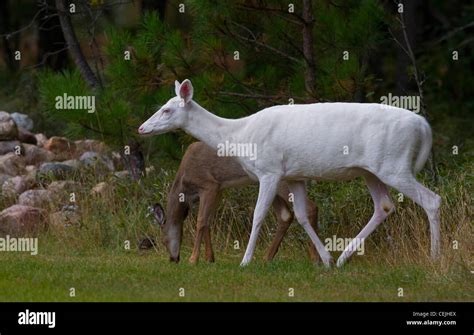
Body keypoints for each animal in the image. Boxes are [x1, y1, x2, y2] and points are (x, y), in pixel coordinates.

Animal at [139, 79, 442, 268]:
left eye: (167, 109)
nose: (141, 128)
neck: (239, 135)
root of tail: (423, 125)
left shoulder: (269, 170)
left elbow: (258, 215)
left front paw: (246, 261)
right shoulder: (294, 175)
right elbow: (302, 215)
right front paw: (325, 260)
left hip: (394, 164)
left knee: (432, 200)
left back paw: (433, 258)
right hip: (372, 170)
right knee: (385, 205)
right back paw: (342, 258)